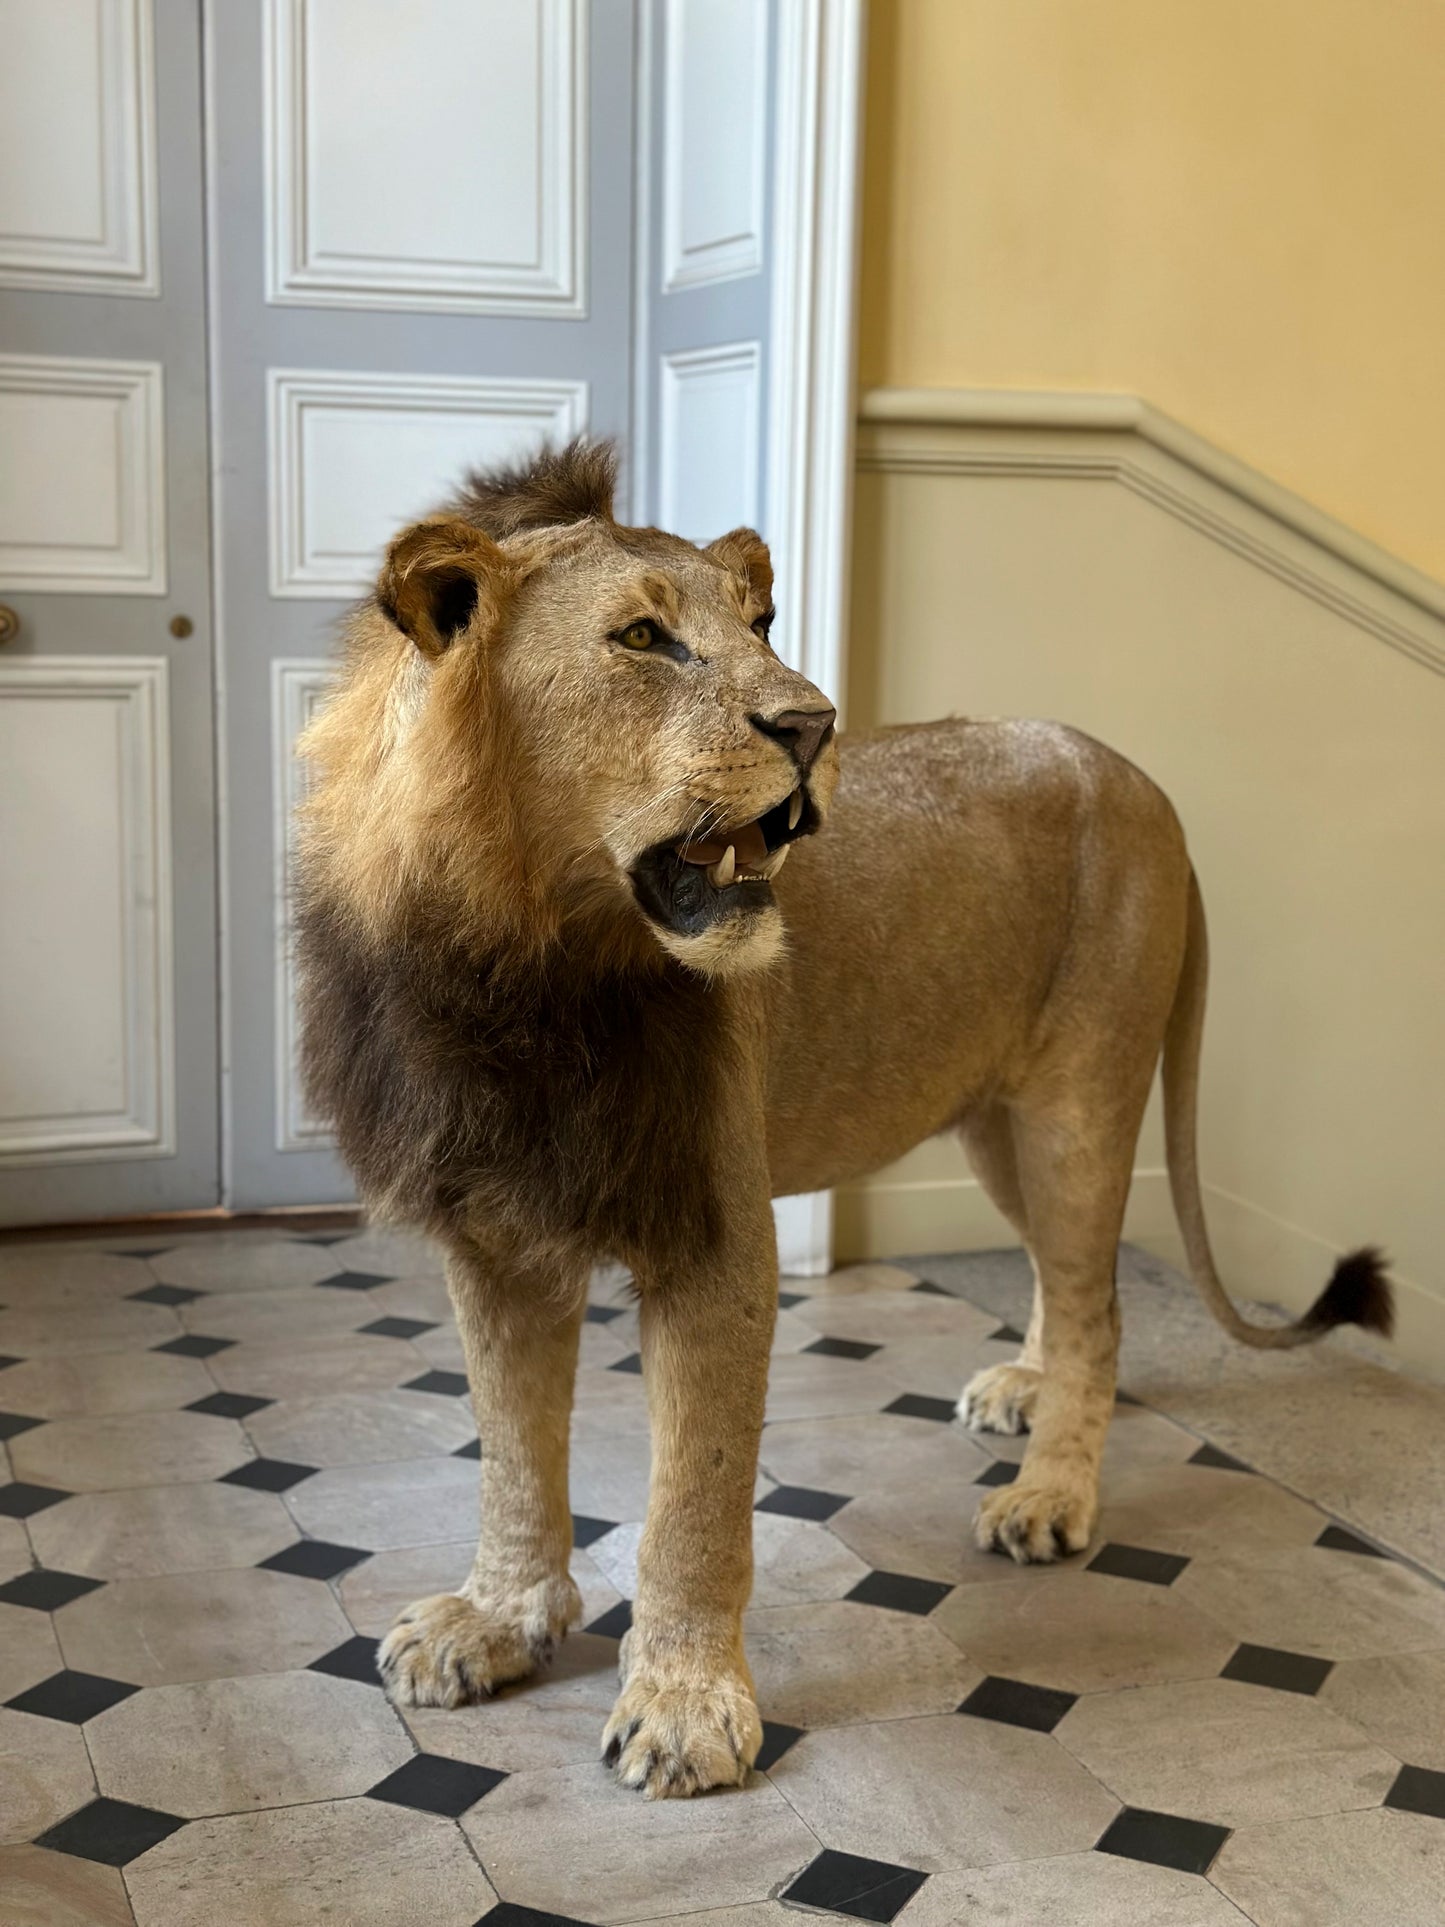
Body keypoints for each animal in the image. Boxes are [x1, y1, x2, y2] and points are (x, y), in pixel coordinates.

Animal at [295, 439, 1392, 1799]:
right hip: (994, 1119)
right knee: (1068, 1276)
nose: (811, 725)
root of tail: (1143, 783)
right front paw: (494, 1621)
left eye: (760, 624)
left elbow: (693, 1500)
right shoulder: (493, 1233)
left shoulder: (716, 1235)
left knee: (1099, 1301)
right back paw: (1026, 1386)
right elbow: (509, 1450)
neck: (526, 959)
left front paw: (683, 1706)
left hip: (1078, 1099)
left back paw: (1047, 1492)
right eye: (644, 637)